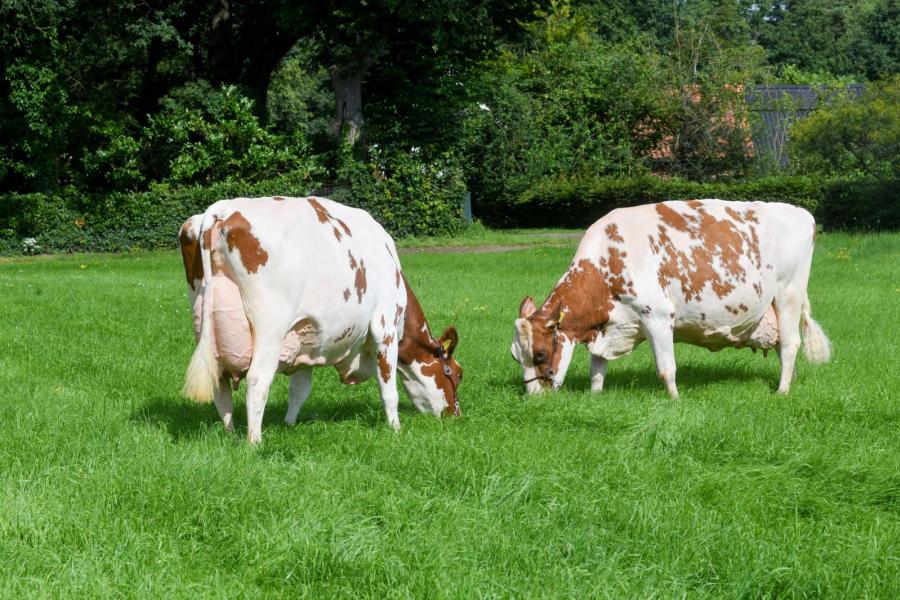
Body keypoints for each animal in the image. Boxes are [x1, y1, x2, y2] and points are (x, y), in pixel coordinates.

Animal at [178, 195, 460, 442]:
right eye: (457, 374)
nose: (455, 414)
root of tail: (222, 209)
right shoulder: (385, 327)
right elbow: (389, 389)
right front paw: (395, 428)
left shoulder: (307, 341)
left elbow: (299, 390)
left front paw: (289, 424)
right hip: (270, 327)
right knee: (257, 380)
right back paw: (254, 441)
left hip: (204, 323)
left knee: (219, 383)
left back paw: (229, 432)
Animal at [510, 200, 832, 398]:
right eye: (516, 356)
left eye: (540, 353)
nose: (535, 398)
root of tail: (801, 213)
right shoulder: (609, 325)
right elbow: (597, 369)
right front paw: (595, 395)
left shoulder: (657, 315)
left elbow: (667, 369)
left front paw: (675, 400)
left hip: (788, 293)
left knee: (789, 345)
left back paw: (782, 391)